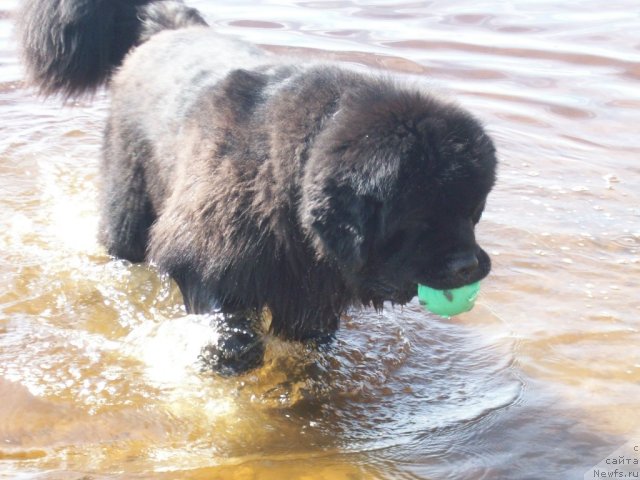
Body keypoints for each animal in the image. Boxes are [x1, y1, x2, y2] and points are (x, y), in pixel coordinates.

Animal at [17, 0, 498, 376]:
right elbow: (221, 311)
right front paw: (231, 354)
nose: (467, 265)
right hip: (127, 201)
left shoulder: (310, 291)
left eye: (472, 210)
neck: (286, 178)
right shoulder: (208, 248)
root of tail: (170, 29)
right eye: (419, 217)